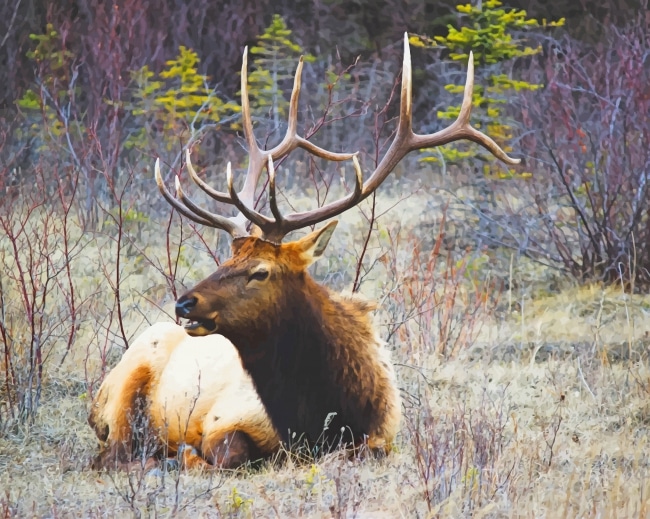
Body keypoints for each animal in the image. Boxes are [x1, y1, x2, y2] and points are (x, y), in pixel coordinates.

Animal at [90, 33, 519, 471]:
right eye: (226, 260)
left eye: (260, 271)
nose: (184, 303)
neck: (321, 416)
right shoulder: (222, 419)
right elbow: (225, 453)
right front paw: (183, 455)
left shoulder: (382, 437)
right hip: (122, 395)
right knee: (111, 454)